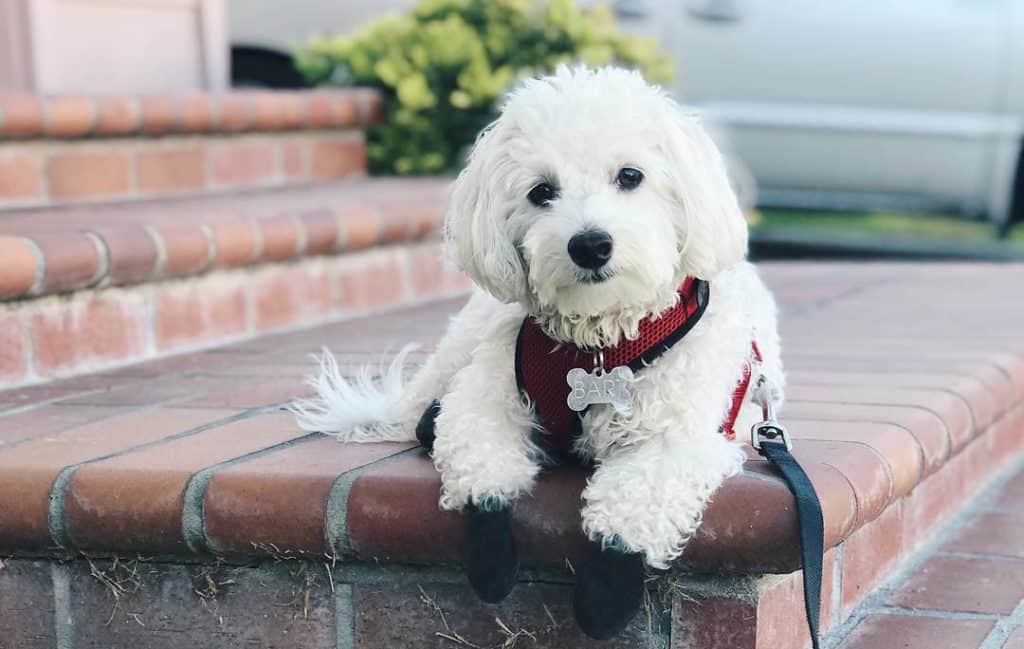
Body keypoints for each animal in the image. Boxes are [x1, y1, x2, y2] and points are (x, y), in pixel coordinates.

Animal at [294, 65, 782, 638]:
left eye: (631, 176)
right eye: (541, 192)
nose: (590, 244)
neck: (599, 347)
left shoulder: (677, 442)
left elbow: (634, 502)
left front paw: (606, 591)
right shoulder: (483, 399)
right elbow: (482, 466)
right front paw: (491, 553)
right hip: (466, 342)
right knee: (428, 411)